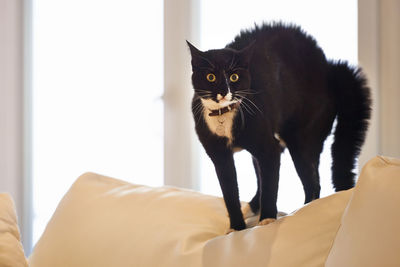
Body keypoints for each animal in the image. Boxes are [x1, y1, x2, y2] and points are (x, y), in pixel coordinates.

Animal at [186, 23, 370, 232]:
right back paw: (251, 208)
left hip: (301, 138)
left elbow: (271, 185)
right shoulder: (219, 156)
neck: (224, 115)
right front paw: (237, 227)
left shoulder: (268, 148)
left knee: (312, 182)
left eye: (234, 77)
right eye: (210, 76)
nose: (224, 91)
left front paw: (267, 219)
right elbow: (230, 192)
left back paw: (304, 211)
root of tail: (329, 68)